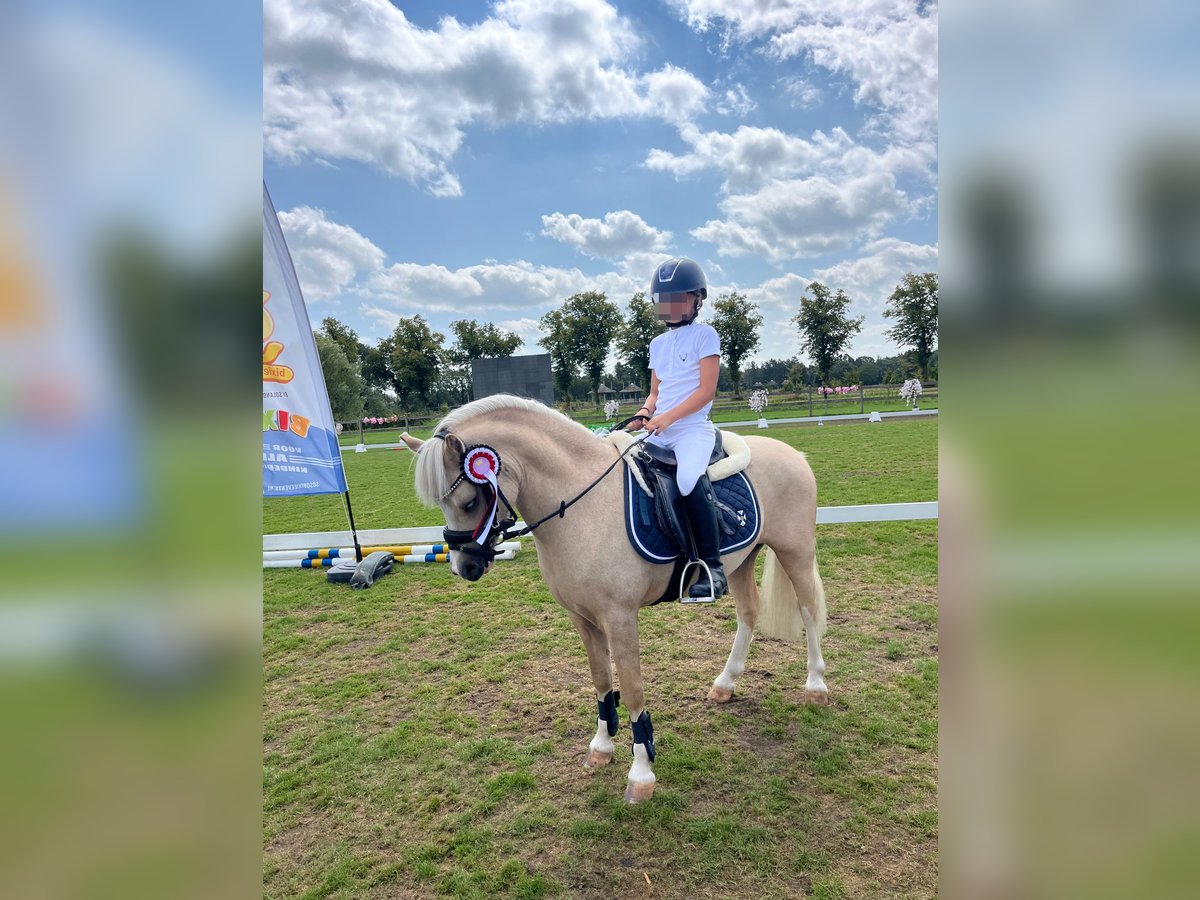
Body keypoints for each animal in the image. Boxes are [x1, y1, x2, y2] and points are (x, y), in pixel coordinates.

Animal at [399, 394, 827, 804]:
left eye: (470, 501)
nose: (466, 566)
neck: (578, 505)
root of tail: (794, 454)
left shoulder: (620, 618)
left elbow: (633, 689)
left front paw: (641, 775)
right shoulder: (583, 618)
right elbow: (602, 682)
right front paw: (602, 747)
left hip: (795, 552)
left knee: (809, 613)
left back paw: (816, 687)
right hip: (741, 561)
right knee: (748, 613)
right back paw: (725, 684)